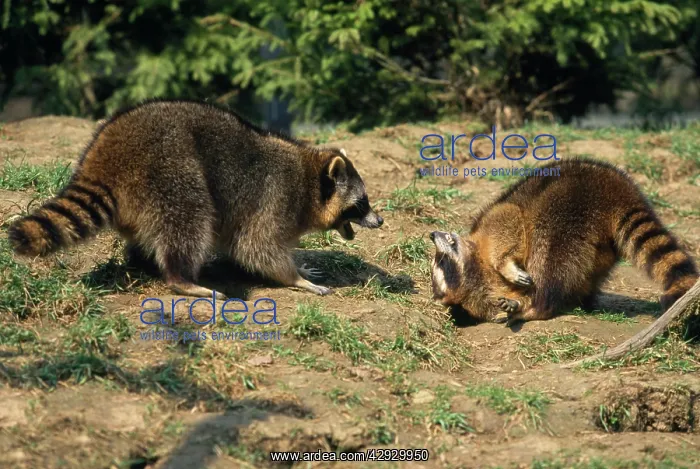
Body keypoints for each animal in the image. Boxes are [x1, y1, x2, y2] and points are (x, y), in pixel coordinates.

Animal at [8, 99, 383, 299]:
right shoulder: (275, 198)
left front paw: (299, 267)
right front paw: (295, 278)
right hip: (169, 172)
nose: (380, 220)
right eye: (361, 203)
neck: (308, 179)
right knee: (191, 220)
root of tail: (104, 156)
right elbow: (257, 247)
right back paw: (183, 280)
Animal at [430, 157, 698, 325]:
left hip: (569, 204)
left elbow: (509, 220)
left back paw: (539, 306)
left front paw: (508, 268)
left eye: (440, 261)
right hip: (599, 243)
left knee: (549, 253)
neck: (477, 270)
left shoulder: (492, 224)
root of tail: (616, 188)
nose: (433, 235)